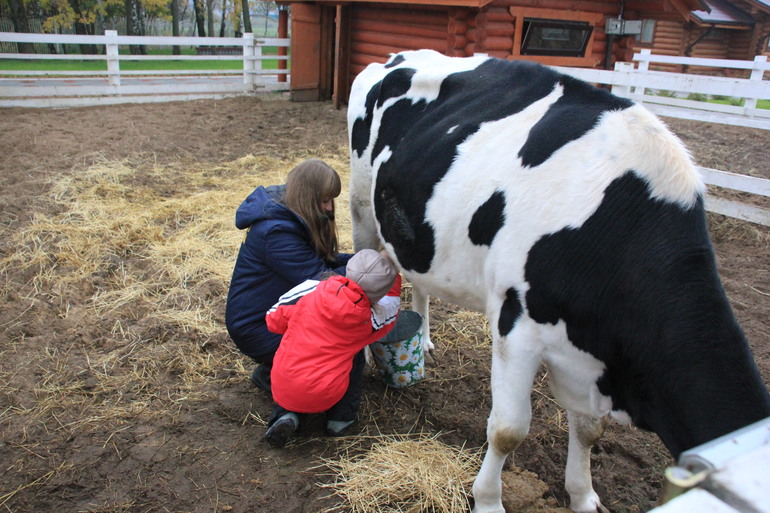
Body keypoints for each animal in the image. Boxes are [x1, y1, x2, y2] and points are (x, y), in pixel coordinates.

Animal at [348, 49, 768, 512]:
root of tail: (400, 56)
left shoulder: (588, 359)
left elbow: (589, 429)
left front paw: (583, 495)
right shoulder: (516, 324)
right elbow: (508, 430)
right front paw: (489, 500)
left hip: (418, 232)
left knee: (419, 280)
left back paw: (423, 339)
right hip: (361, 208)